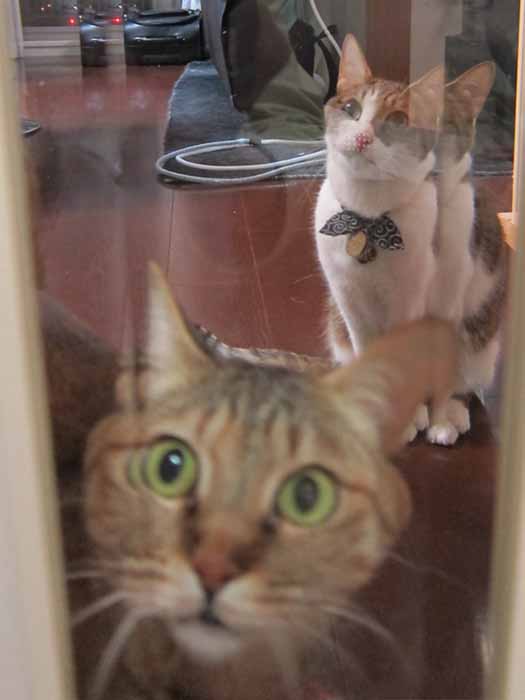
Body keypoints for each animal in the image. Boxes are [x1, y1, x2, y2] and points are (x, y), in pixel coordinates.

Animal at [314, 34, 504, 445]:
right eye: (351, 109)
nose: (363, 137)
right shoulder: (349, 298)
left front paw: (431, 418)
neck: (369, 222)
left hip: (481, 335)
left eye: (400, 124)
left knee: (465, 377)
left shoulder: (437, 296)